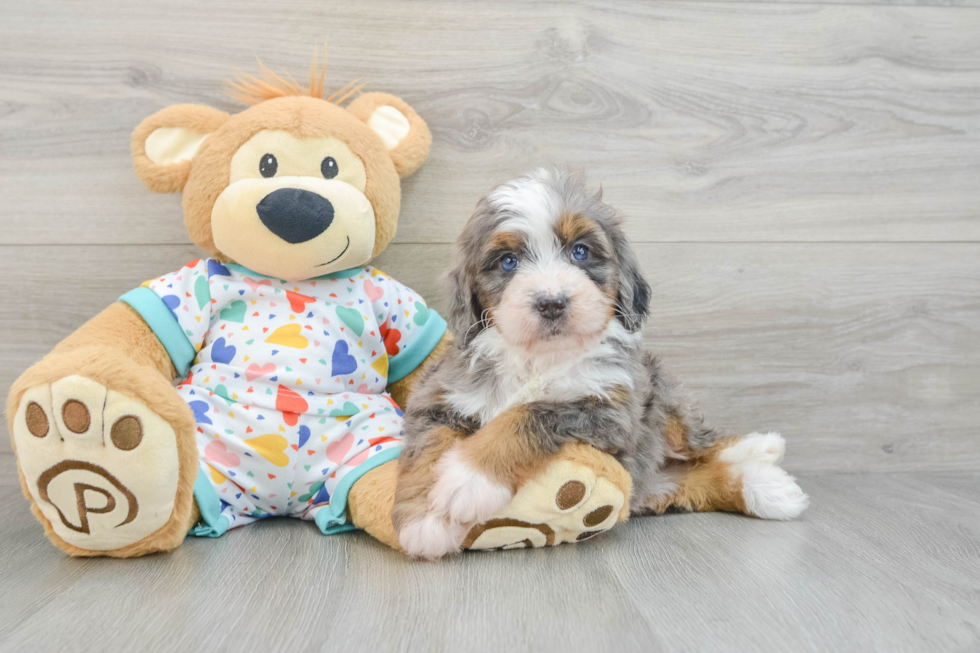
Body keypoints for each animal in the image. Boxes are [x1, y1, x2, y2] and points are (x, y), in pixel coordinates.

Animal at [394, 166, 808, 556]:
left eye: (580, 251)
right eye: (508, 261)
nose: (552, 302)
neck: (540, 359)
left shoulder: (609, 411)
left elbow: (526, 415)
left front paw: (467, 479)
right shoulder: (437, 397)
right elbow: (428, 446)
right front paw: (425, 518)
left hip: (660, 392)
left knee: (699, 442)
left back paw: (761, 448)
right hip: (648, 483)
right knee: (694, 480)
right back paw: (769, 487)